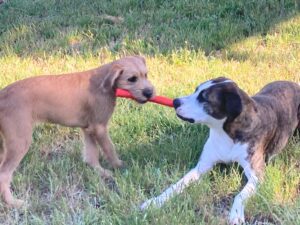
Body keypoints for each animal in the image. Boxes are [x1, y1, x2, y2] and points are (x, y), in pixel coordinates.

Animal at [0, 55, 155, 207]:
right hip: (19, 142)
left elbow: (92, 154)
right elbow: (110, 149)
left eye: (146, 75)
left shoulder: (88, 129)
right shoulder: (99, 128)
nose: (149, 93)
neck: (103, 83)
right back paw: (13, 202)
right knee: (4, 174)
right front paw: (119, 166)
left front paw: (100, 171)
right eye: (132, 79)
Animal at [141, 77, 300, 223]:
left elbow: (240, 195)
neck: (225, 132)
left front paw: (235, 214)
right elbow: (178, 184)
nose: (175, 102)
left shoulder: (257, 176)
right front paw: (155, 202)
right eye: (196, 90)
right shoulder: (201, 167)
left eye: (204, 98)